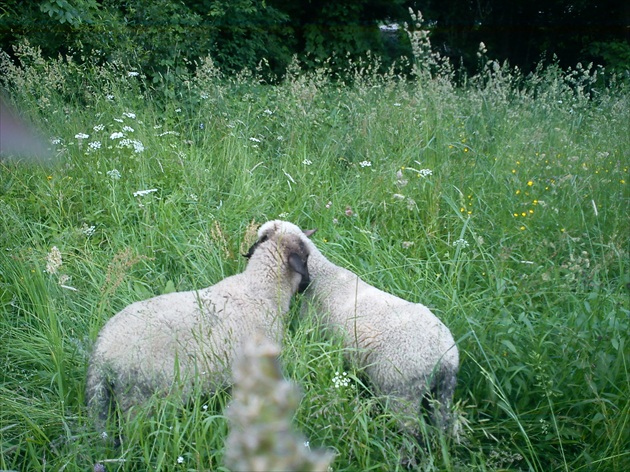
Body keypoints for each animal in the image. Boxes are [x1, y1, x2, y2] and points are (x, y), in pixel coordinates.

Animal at [260, 219, 462, 434]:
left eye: (262, 238)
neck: (323, 275)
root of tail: (445, 358)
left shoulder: (312, 326)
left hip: (400, 392)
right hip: (443, 393)